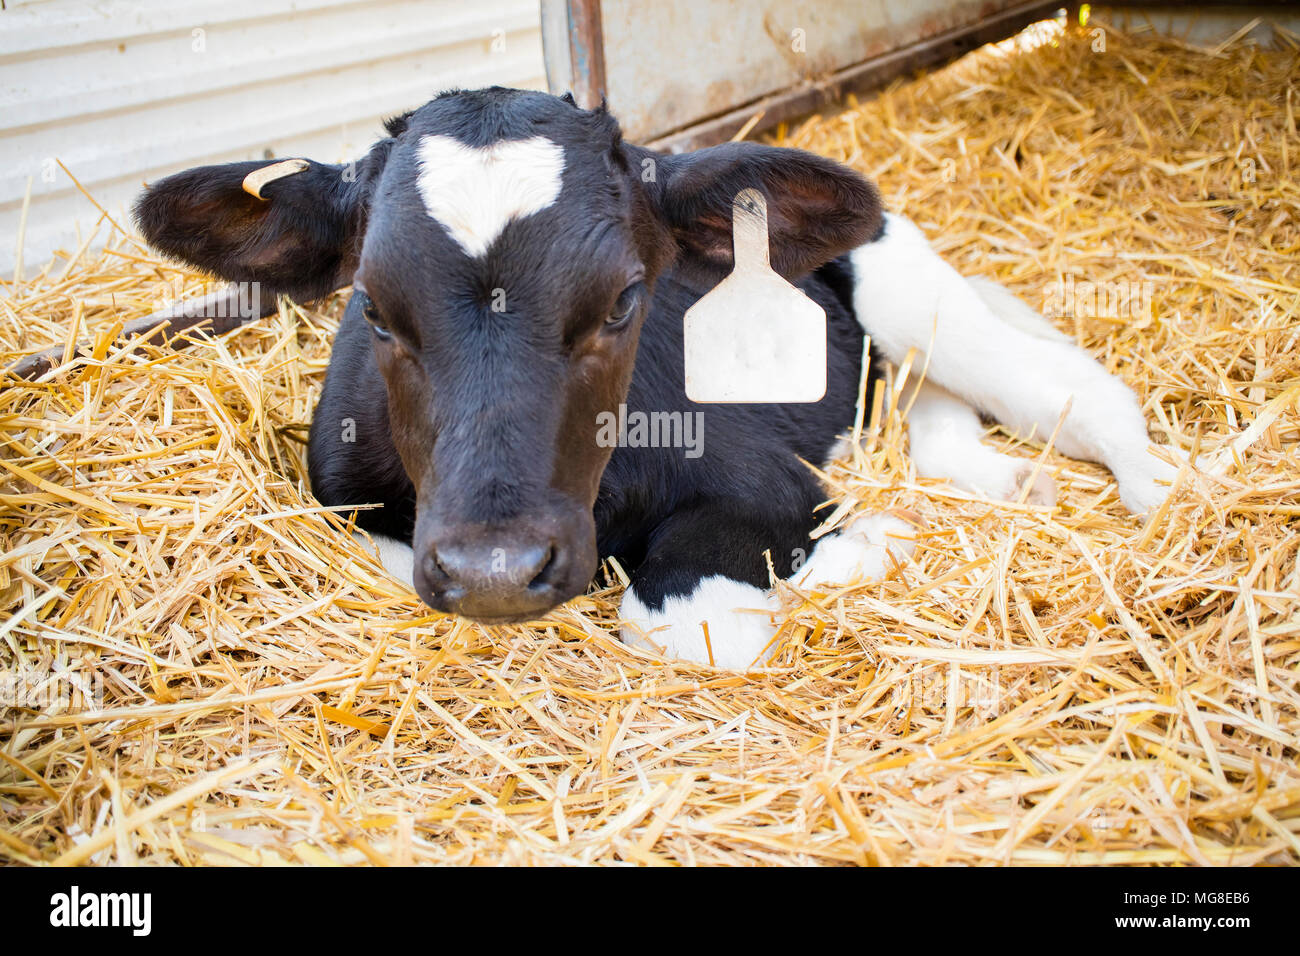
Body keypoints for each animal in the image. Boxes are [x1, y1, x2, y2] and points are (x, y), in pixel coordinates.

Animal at [134, 87, 1177, 669]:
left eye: (626, 299)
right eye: (374, 309)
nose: (497, 571)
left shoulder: (764, 479)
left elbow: (692, 622)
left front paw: (867, 544)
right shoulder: (348, 497)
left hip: (914, 293)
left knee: (1078, 391)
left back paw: (1164, 490)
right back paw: (1010, 477)